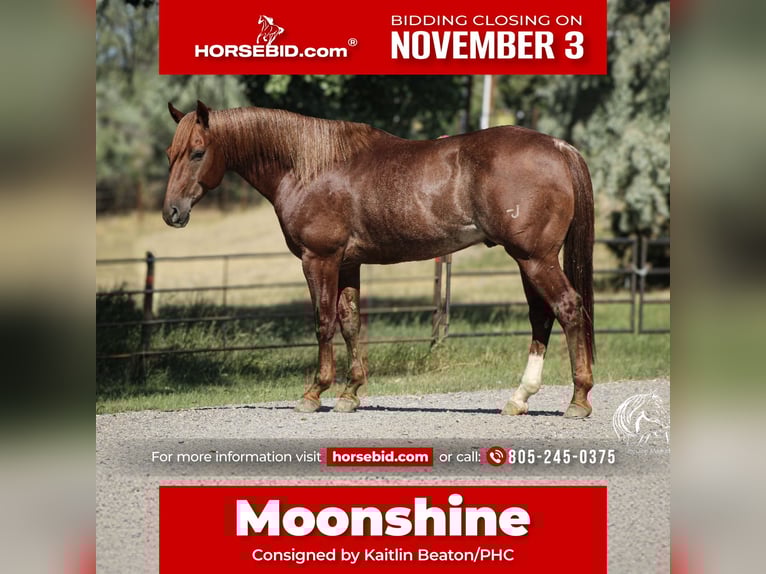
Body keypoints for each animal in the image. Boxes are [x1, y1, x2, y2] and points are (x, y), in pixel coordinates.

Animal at [163, 100, 595, 418]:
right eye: (170, 153)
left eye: (197, 152)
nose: (172, 212)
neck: (309, 166)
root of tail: (559, 148)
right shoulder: (348, 263)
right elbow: (351, 323)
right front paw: (350, 393)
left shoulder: (319, 259)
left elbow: (323, 322)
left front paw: (314, 392)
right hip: (530, 260)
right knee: (542, 317)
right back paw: (519, 399)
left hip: (534, 259)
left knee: (568, 308)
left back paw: (578, 399)